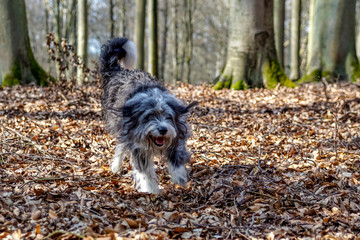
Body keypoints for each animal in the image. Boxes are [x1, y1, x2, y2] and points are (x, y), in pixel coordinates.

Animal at [99, 37, 197, 194]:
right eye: (149, 116)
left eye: (168, 116)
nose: (163, 130)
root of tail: (120, 71)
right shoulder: (137, 144)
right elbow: (144, 171)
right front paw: (150, 190)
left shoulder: (176, 133)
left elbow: (176, 157)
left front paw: (179, 177)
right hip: (122, 127)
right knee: (121, 145)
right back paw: (116, 166)